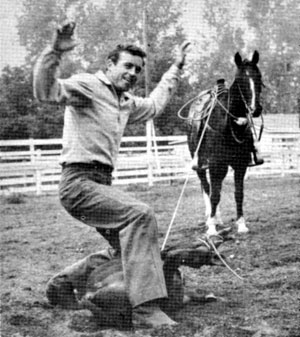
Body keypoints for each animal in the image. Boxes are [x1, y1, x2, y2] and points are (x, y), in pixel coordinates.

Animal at [188, 51, 262, 235]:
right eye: (240, 79)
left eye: (258, 77)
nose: (255, 109)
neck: (228, 125)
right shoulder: (215, 165)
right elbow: (214, 195)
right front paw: (212, 228)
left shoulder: (240, 165)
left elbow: (238, 194)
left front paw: (241, 224)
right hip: (201, 165)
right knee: (207, 187)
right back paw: (212, 218)